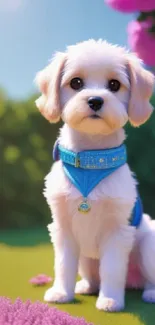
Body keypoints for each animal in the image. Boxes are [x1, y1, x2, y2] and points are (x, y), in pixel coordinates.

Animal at [34, 38, 155, 312]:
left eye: (114, 85)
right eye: (76, 82)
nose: (96, 100)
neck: (90, 162)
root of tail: (134, 282)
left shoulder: (117, 230)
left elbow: (112, 268)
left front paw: (110, 300)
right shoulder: (63, 228)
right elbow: (63, 264)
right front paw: (61, 292)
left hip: (149, 245)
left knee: (148, 277)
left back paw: (150, 292)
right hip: (86, 258)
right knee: (90, 273)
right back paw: (86, 286)